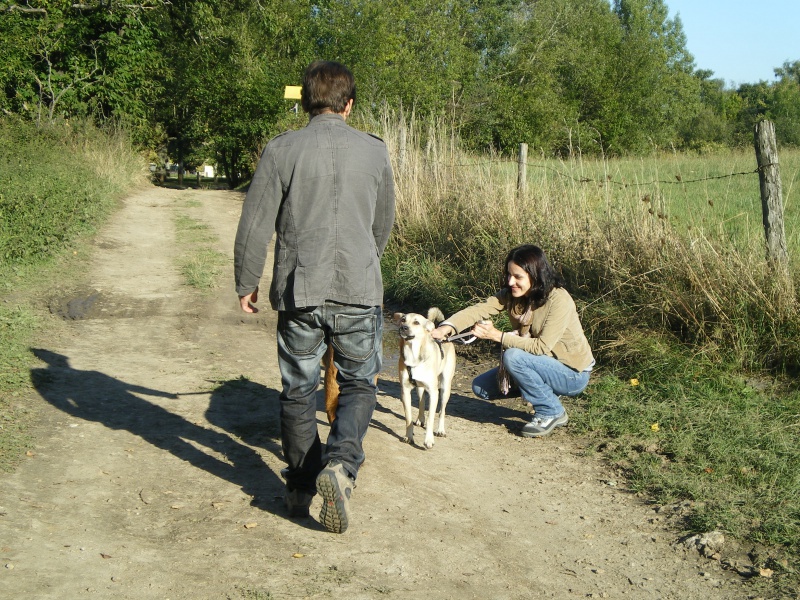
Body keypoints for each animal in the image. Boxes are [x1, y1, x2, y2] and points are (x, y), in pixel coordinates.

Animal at [394, 308, 456, 448]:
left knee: (442, 410)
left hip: (445, 387)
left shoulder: (434, 392)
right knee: (422, 401)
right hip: (419, 388)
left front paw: (429, 440)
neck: (413, 354)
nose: (403, 327)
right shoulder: (405, 391)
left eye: (416, 322)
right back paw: (420, 419)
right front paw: (409, 436)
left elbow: (431, 417)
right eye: (403, 320)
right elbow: (408, 418)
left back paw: (440, 430)